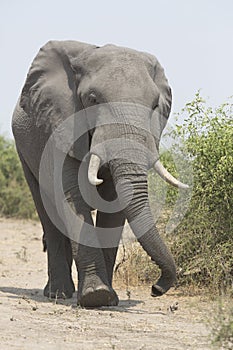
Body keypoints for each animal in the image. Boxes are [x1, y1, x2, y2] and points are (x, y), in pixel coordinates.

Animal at [11, 41, 188, 308]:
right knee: (47, 212)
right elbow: (70, 196)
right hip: (24, 149)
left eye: (155, 106)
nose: (155, 289)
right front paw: (96, 296)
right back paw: (58, 294)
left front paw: (108, 299)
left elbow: (114, 206)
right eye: (92, 99)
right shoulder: (61, 127)